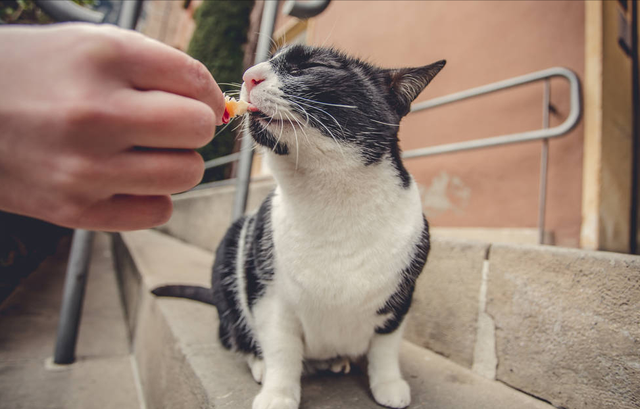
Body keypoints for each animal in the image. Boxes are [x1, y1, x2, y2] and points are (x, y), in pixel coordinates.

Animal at [154, 44, 444, 408]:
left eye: (310, 66)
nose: (250, 75)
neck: (334, 204)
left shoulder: (401, 298)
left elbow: (385, 346)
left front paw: (389, 383)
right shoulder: (270, 296)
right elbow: (282, 350)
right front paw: (277, 394)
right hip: (232, 249)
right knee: (234, 335)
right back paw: (261, 363)